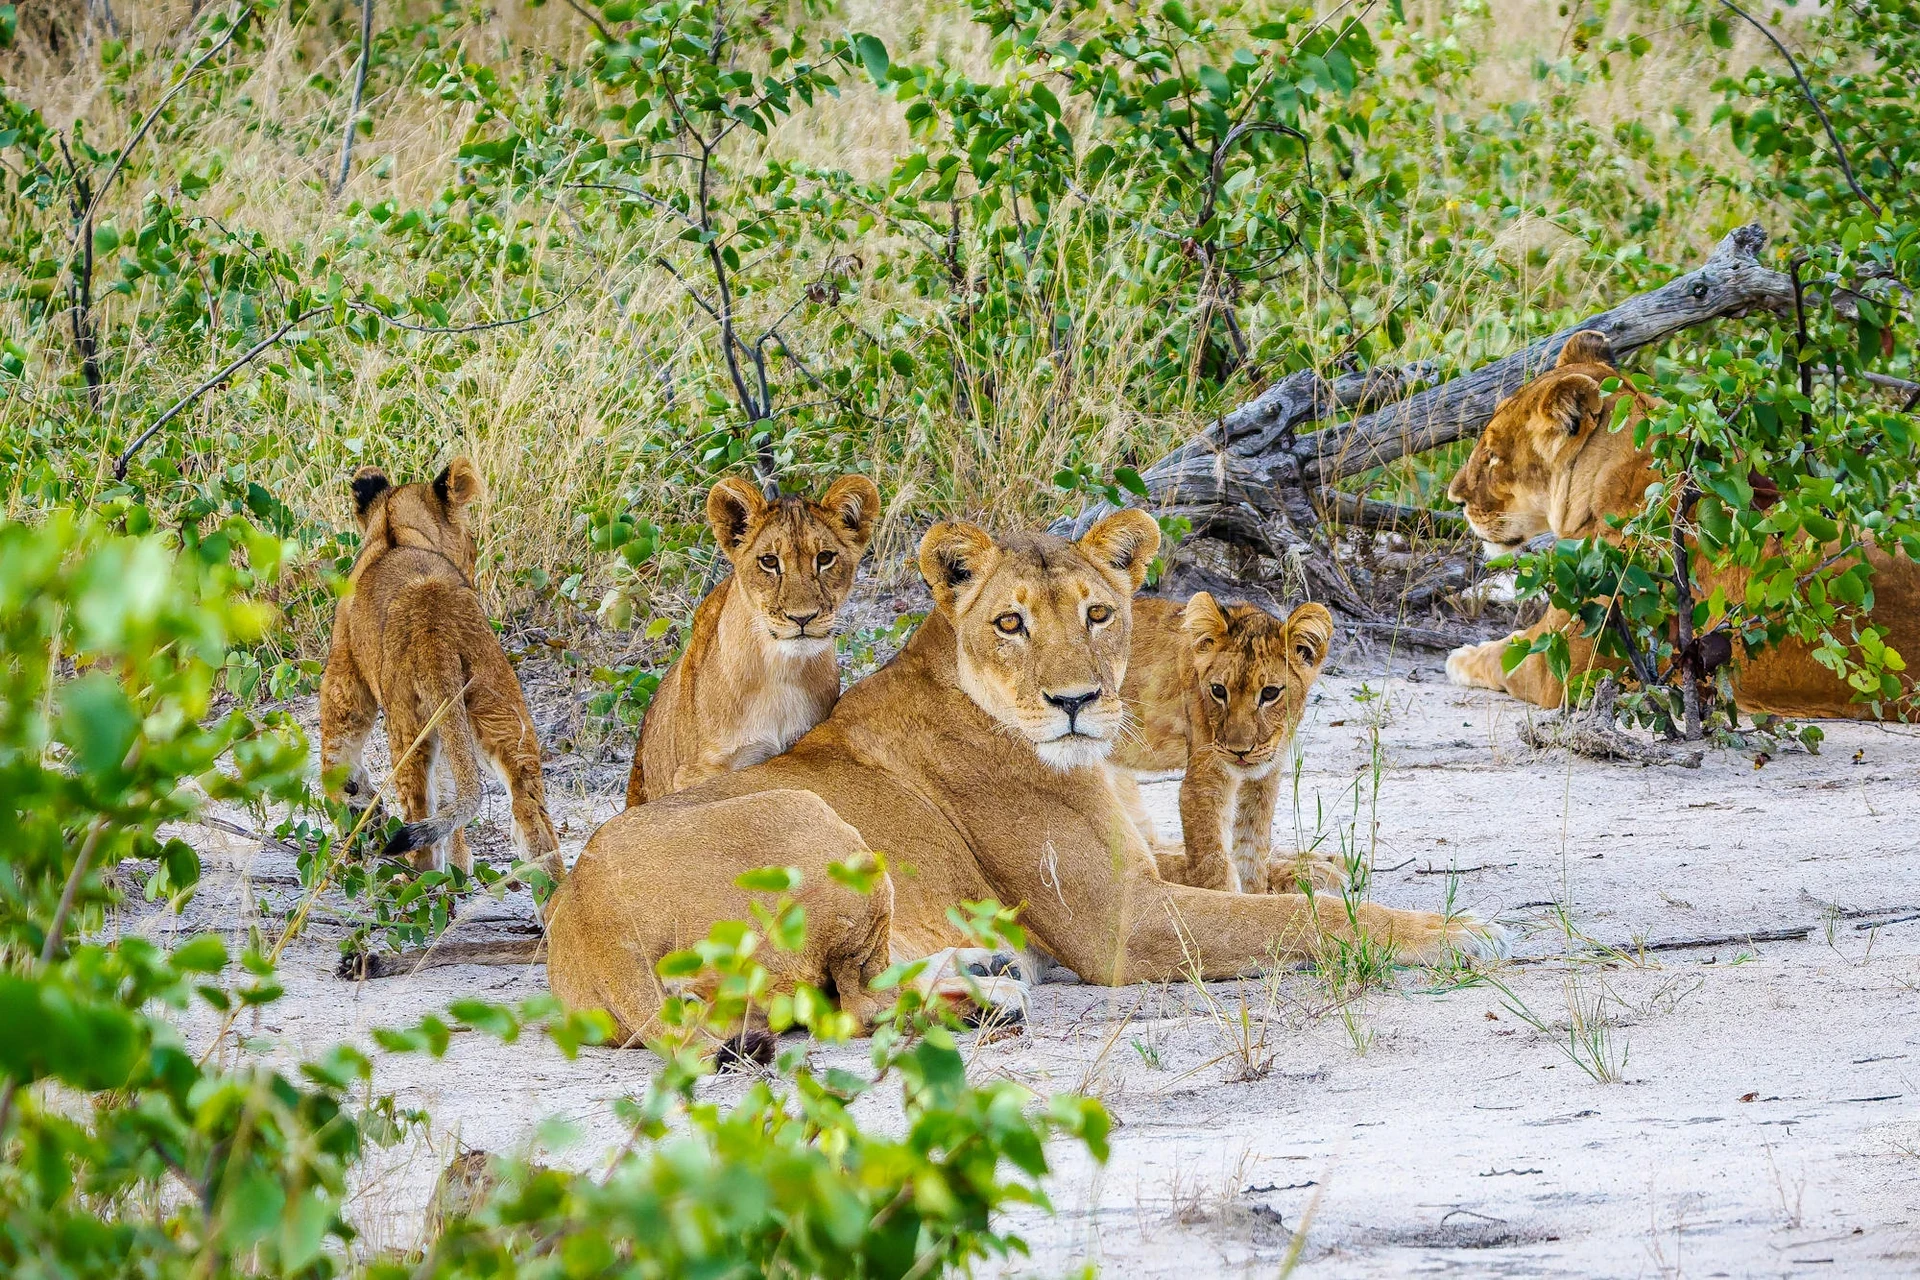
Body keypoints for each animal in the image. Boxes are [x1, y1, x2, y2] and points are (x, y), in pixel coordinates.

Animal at [319, 458, 563, 893]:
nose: (474, 558)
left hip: (407, 726)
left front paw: (358, 803)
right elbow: (453, 792)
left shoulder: (345, 673)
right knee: (532, 818)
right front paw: (462, 867)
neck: (394, 530)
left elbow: (335, 756)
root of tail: (437, 625)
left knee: (420, 816)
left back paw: (412, 877)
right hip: (505, 716)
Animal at [1109, 593, 1342, 896]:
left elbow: (1252, 851)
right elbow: (1214, 865)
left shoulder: (1264, 777)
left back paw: (1325, 864)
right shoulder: (1205, 781)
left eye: (1270, 693)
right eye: (1219, 691)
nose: (1239, 751)